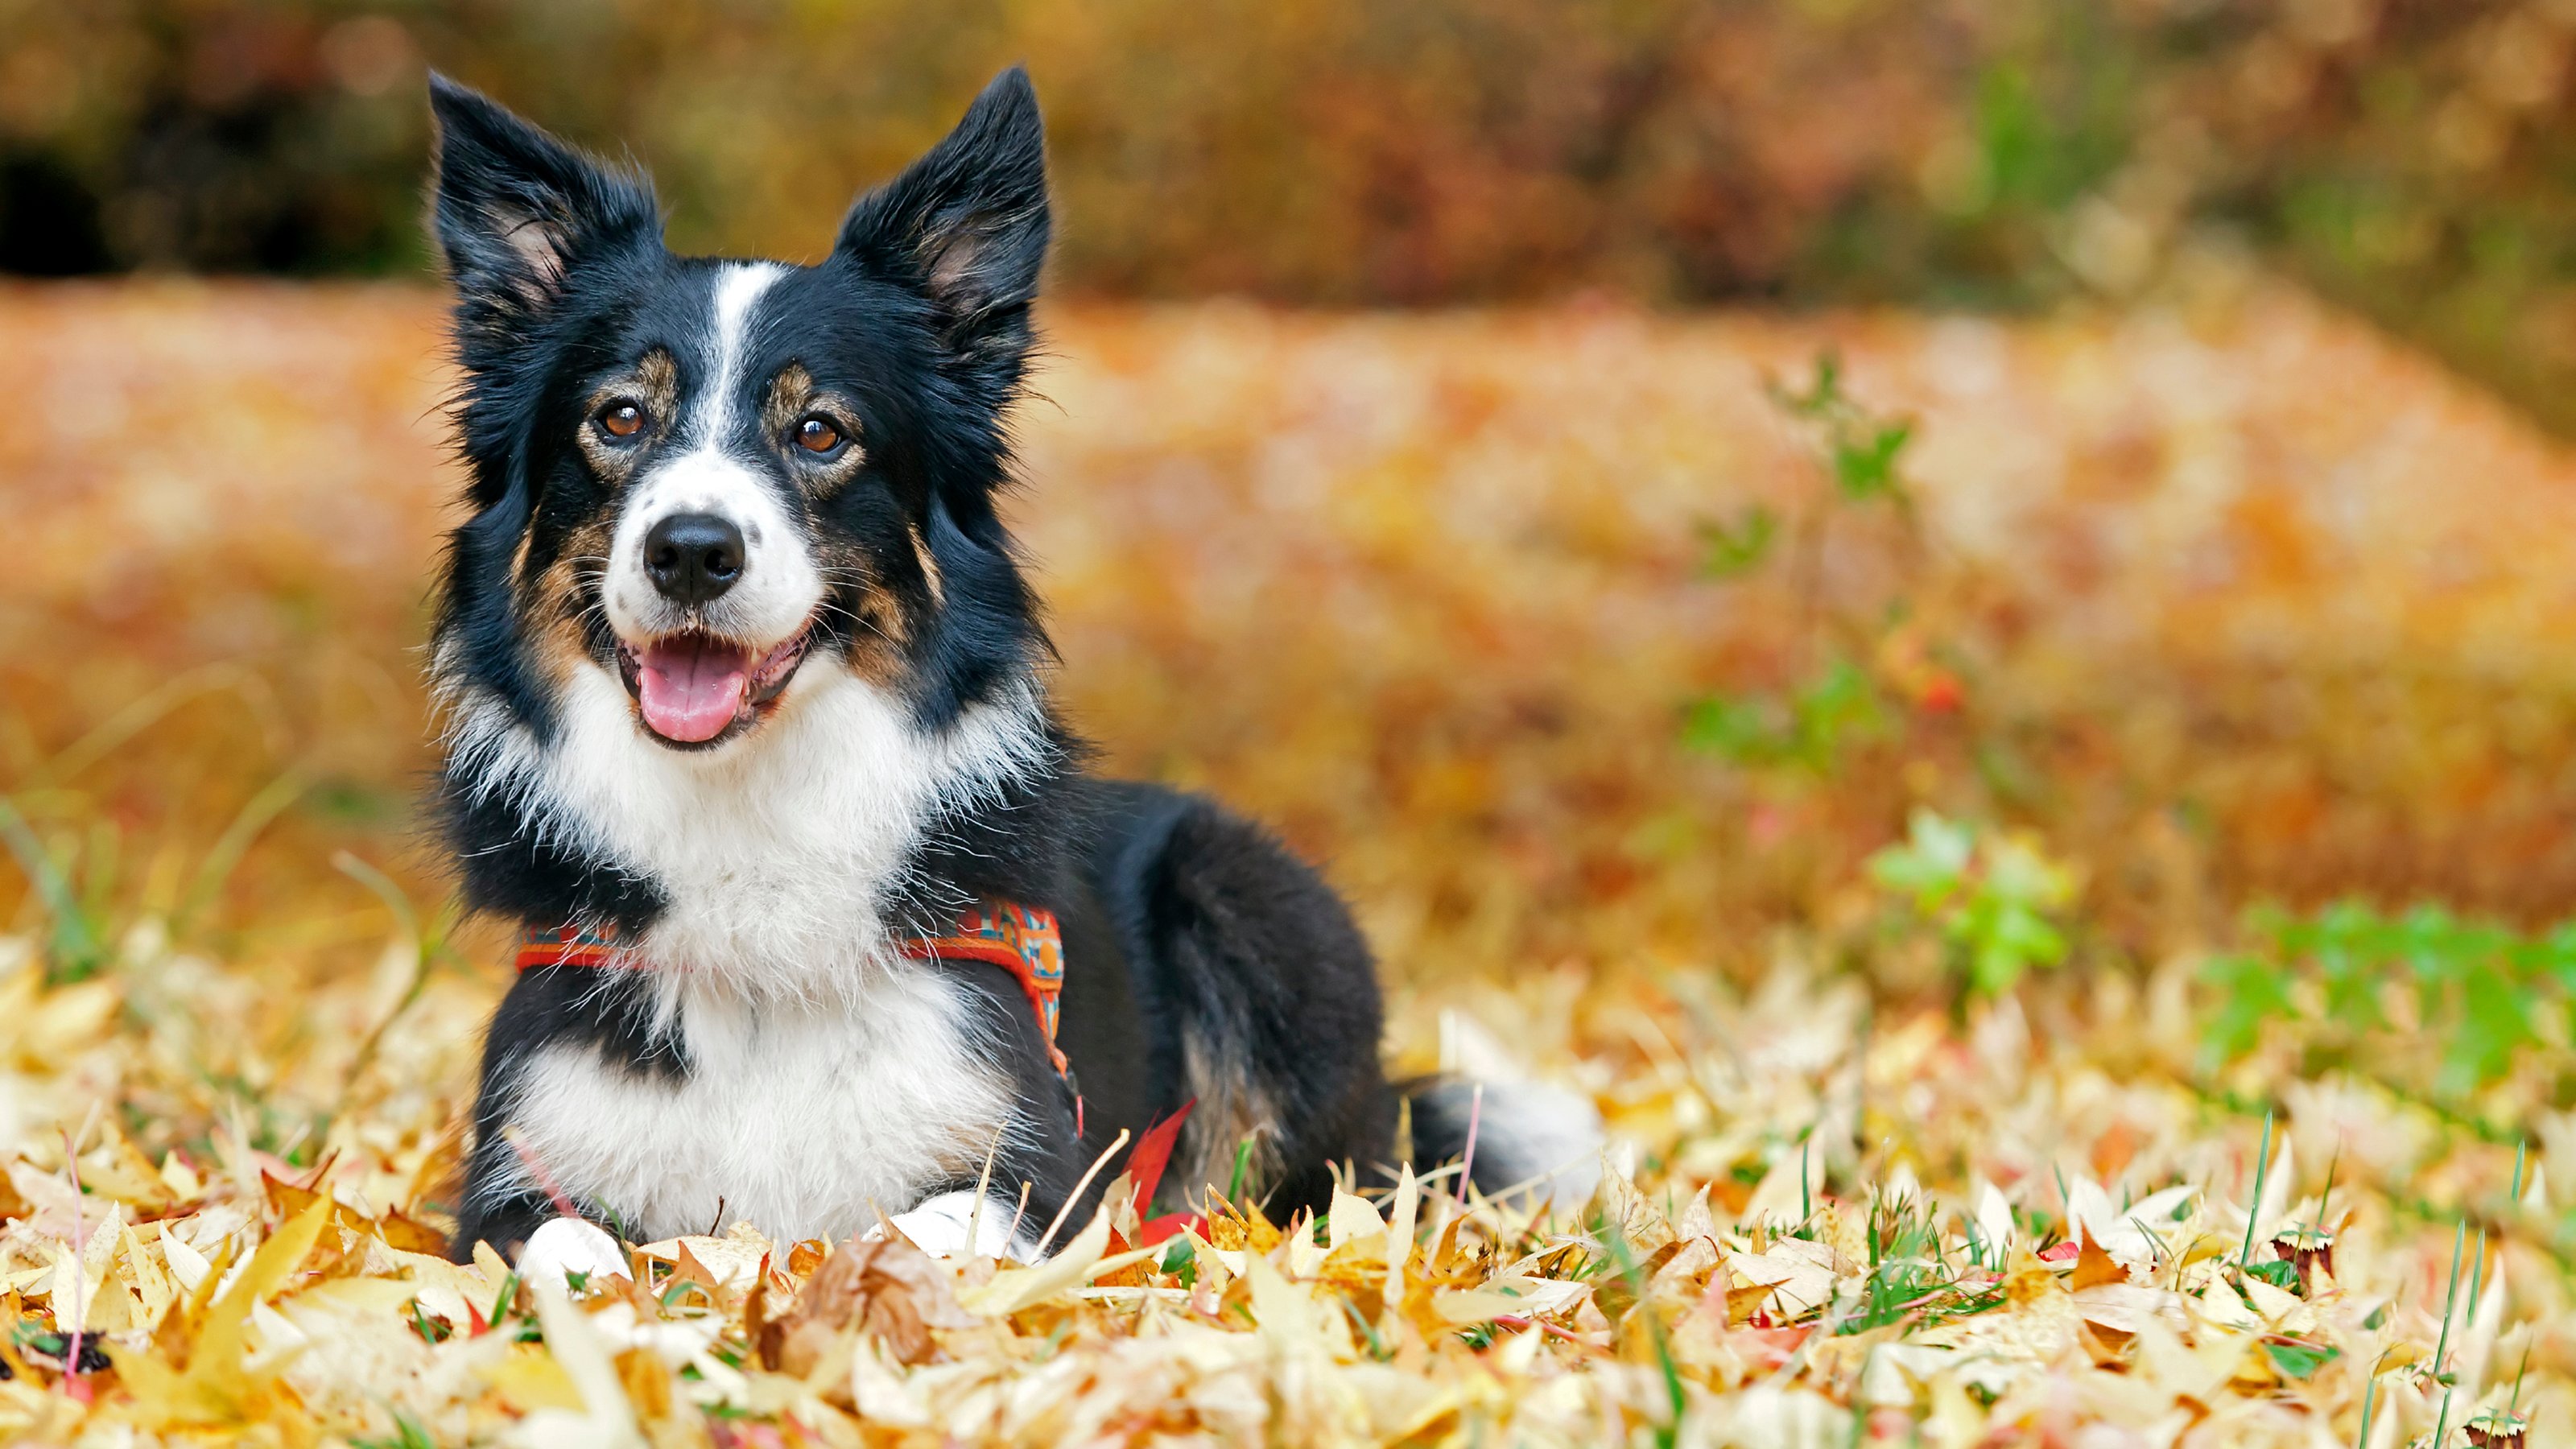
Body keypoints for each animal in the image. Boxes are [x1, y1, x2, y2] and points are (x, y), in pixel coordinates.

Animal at [422, 64, 1587, 1263]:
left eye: (821, 432)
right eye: (618, 417)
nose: (692, 551)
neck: (746, 823)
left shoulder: (1028, 1168)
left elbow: (908, 1238)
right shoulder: (515, 1177)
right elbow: (570, 1255)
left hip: (1252, 902)